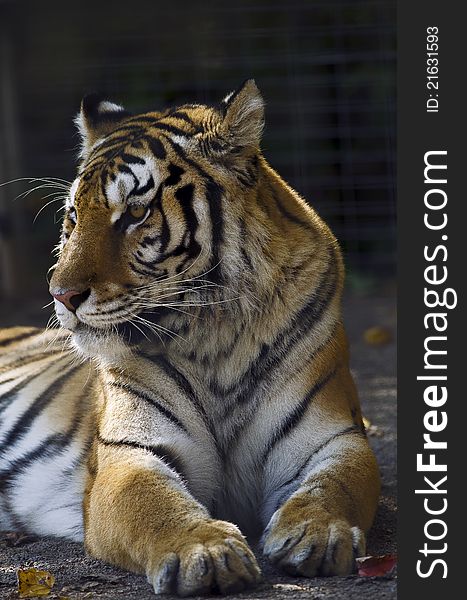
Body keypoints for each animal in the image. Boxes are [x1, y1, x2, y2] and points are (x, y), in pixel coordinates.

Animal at [0, 79, 380, 596]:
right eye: (74, 216)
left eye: (135, 212)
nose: (61, 294)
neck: (219, 338)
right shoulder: (128, 456)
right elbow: (154, 507)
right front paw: (205, 551)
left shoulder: (335, 437)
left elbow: (336, 487)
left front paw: (318, 532)